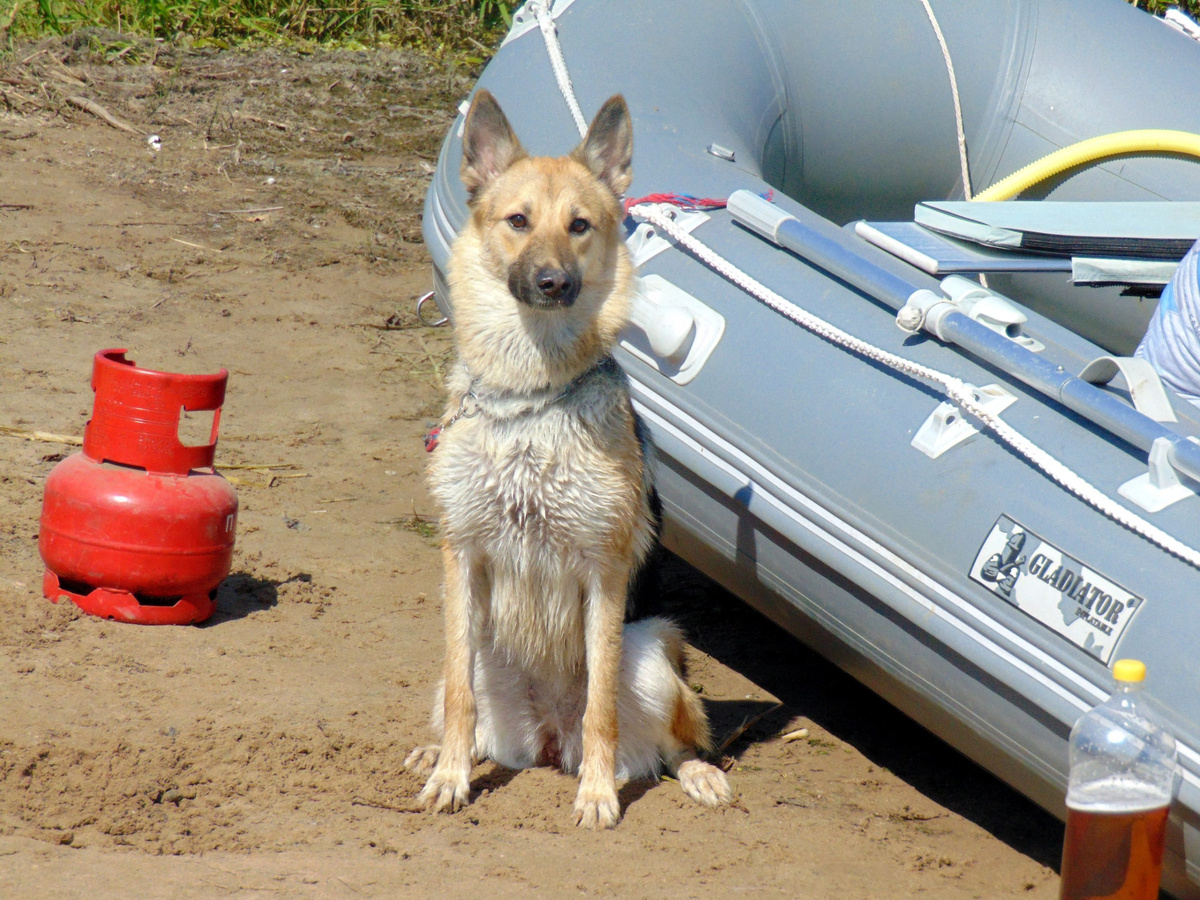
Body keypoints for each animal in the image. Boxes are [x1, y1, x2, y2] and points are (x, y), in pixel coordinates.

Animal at [405, 88, 729, 830]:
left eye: (580, 226)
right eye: (518, 221)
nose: (553, 282)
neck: (530, 399)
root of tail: (550, 739)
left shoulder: (603, 575)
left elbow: (601, 703)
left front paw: (599, 793)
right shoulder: (461, 557)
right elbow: (461, 697)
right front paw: (450, 776)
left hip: (651, 648)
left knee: (674, 742)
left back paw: (693, 773)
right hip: (475, 653)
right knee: (463, 701)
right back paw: (440, 753)